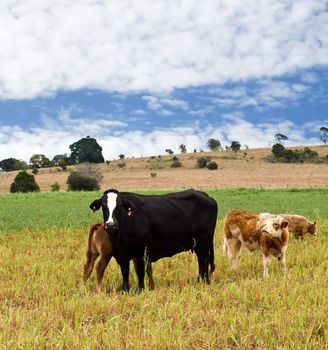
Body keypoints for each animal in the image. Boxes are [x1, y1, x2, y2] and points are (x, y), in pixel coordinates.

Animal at [89, 189, 218, 292]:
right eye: (103, 206)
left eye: (119, 206)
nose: (111, 225)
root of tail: (204, 195)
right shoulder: (121, 255)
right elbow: (125, 272)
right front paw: (125, 290)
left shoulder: (141, 252)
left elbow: (140, 272)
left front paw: (140, 289)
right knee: (203, 263)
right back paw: (200, 282)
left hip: (204, 243)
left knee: (203, 261)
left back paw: (203, 282)